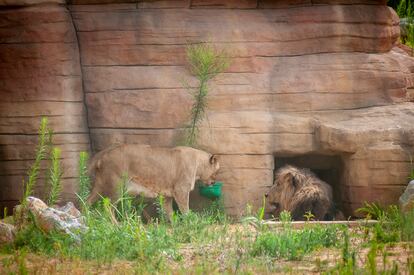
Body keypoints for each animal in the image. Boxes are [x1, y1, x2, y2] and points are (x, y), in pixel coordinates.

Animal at [87, 144, 220, 220]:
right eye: (217, 171)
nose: (214, 182)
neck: (198, 165)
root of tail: (102, 155)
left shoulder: (167, 196)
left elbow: (170, 213)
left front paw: (175, 226)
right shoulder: (181, 190)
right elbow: (185, 210)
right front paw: (190, 223)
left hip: (99, 185)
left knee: (87, 202)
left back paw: (87, 221)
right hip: (117, 187)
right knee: (107, 206)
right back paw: (116, 226)